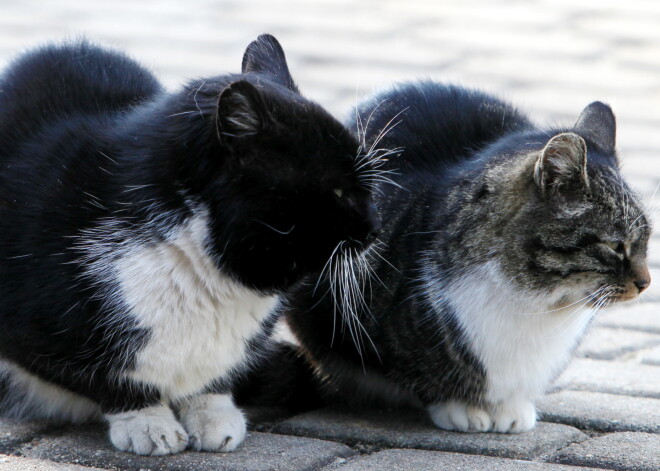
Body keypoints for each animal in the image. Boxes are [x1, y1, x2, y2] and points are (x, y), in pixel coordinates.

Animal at [0, 35, 378, 456]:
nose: (375, 228)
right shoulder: (27, 327)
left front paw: (213, 414)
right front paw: (147, 422)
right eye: (340, 192)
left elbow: (212, 376)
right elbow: (106, 376)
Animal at [253, 81, 648, 436]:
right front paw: (461, 408)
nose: (646, 283)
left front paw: (512, 408)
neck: (536, 302)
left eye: (646, 239)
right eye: (617, 245)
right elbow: (422, 373)